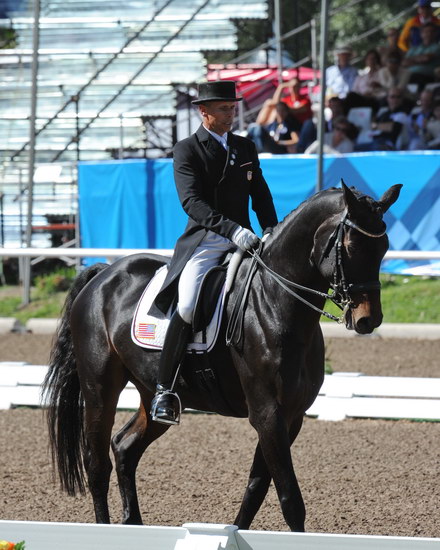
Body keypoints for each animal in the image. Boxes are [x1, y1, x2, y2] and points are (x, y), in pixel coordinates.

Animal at [42, 183, 402, 532]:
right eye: (351, 247)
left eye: (383, 248)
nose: (368, 320)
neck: (275, 303)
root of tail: (104, 274)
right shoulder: (267, 413)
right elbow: (289, 499)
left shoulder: (291, 416)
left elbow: (257, 487)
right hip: (99, 388)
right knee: (97, 464)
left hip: (151, 392)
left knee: (125, 447)